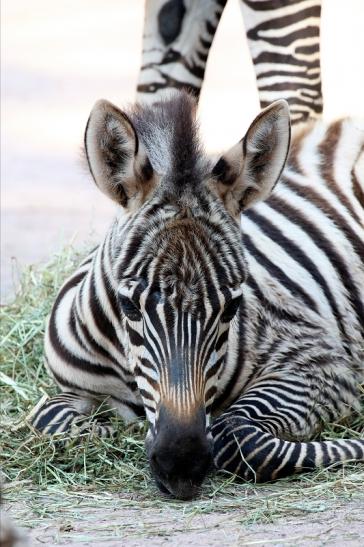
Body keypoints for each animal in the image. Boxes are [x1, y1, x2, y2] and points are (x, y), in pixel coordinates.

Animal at [29, 93, 362, 500]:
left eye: (232, 308)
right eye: (129, 306)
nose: (181, 467)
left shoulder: (318, 361)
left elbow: (238, 437)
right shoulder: (72, 388)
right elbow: (48, 418)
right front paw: (106, 430)